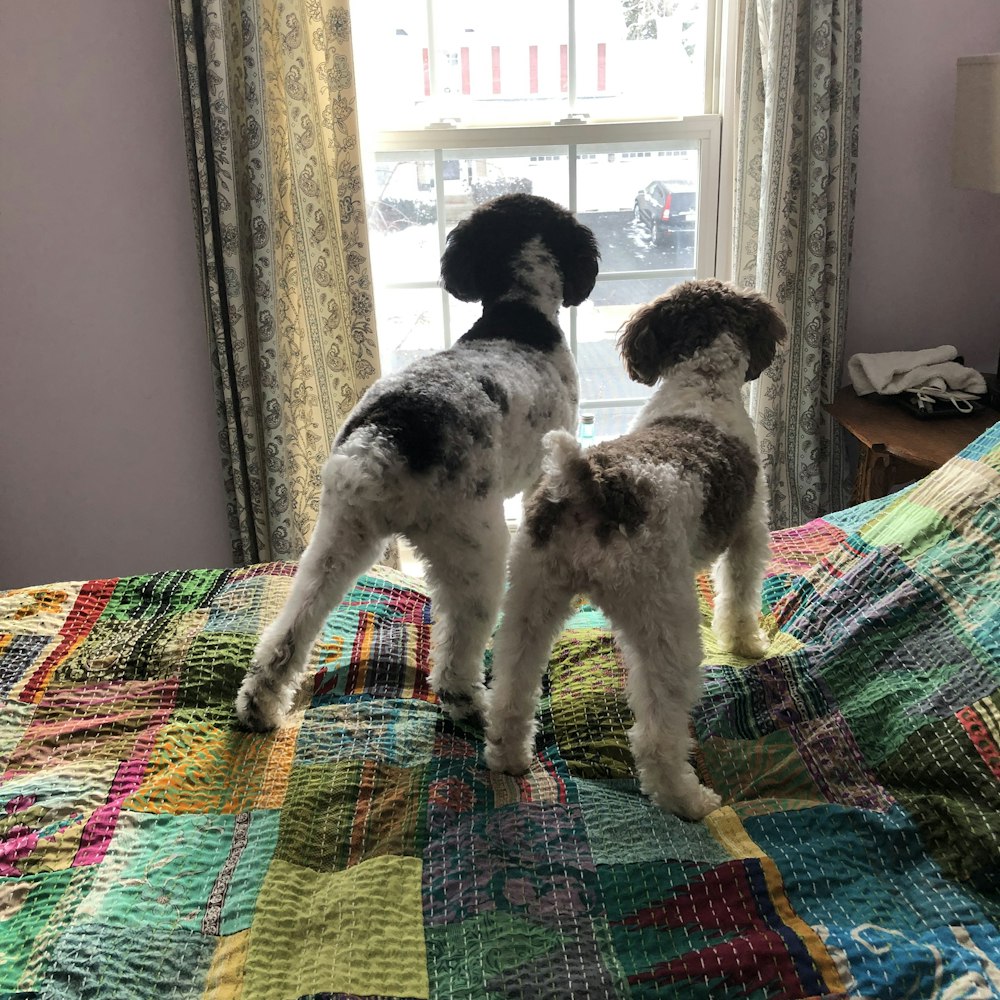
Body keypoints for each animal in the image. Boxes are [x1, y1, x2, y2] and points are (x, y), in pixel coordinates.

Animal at [236, 195, 600, 732]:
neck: (518, 312)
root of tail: (386, 442)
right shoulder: (542, 476)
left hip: (335, 542)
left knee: (291, 629)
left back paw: (259, 705)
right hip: (475, 548)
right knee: (456, 651)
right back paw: (472, 706)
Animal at [480, 278, 784, 816]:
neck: (703, 385)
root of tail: (591, 482)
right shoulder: (749, 533)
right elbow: (739, 597)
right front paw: (746, 644)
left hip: (531, 599)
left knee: (512, 689)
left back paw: (508, 756)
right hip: (665, 621)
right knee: (657, 734)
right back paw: (687, 798)